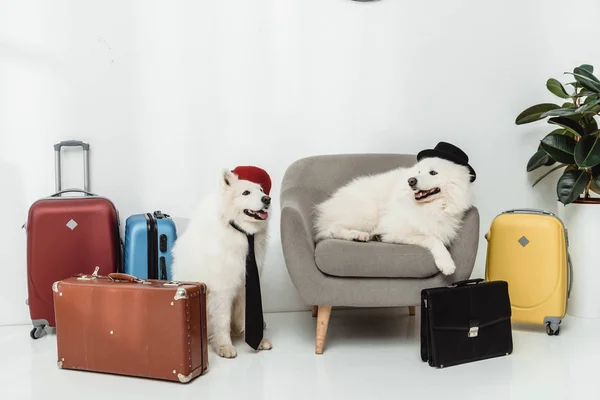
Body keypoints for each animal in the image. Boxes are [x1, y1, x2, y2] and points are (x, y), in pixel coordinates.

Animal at [169, 167, 272, 358]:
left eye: (262, 191)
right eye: (246, 193)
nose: (267, 199)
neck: (241, 232)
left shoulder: (248, 285)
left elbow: (247, 315)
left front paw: (259, 341)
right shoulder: (222, 290)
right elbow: (222, 321)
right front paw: (225, 346)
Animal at [314, 142, 478, 276]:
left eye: (433, 173)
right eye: (418, 172)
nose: (411, 181)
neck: (430, 206)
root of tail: (327, 205)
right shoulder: (397, 230)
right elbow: (432, 238)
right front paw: (447, 263)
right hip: (366, 214)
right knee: (333, 228)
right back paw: (357, 235)